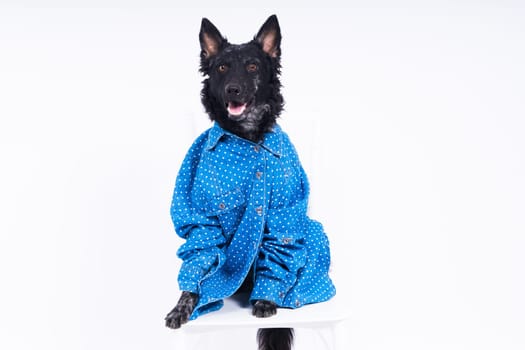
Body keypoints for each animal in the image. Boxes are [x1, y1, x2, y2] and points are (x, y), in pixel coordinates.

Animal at [165, 15, 336, 348]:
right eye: (222, 67)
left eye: (253, 66)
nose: (233, 89)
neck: (246, 136)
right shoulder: (201, 216)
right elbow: (198, 255)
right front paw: (183, 303)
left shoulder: (284, 214)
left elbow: (277, 253)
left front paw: (266, 300)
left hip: (312, 229)